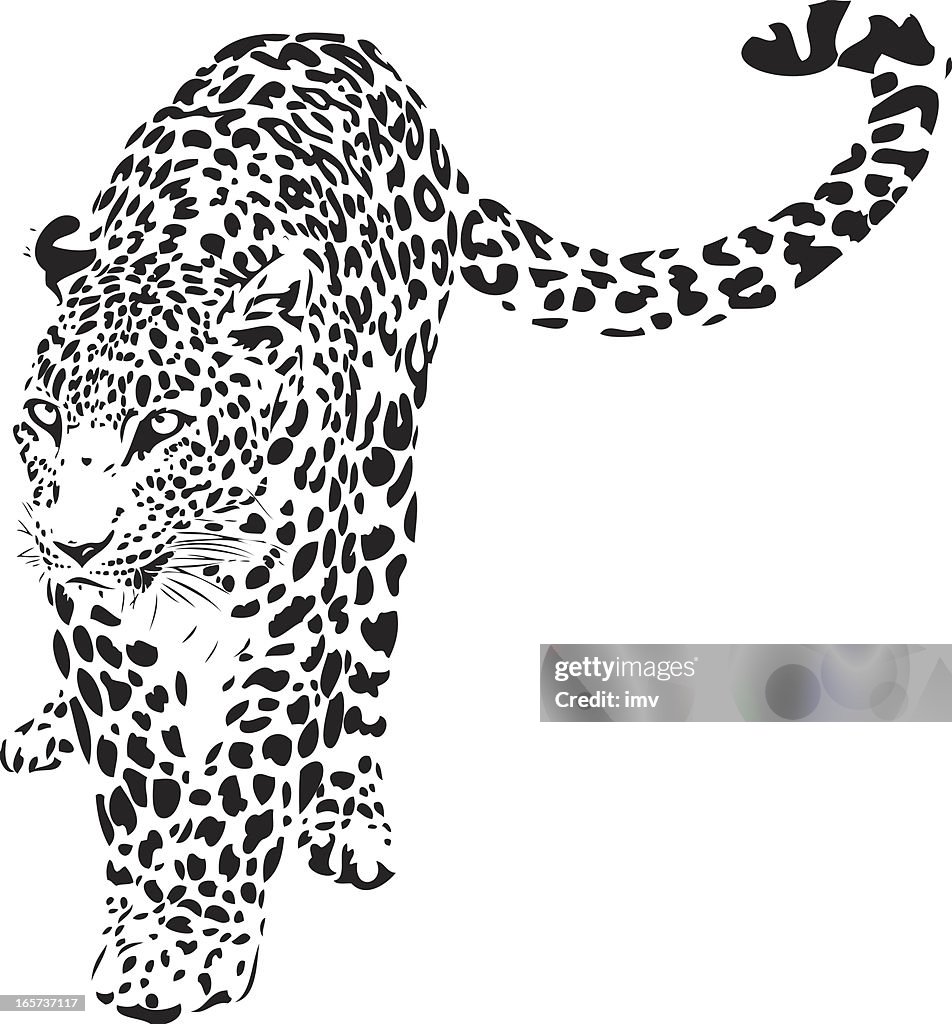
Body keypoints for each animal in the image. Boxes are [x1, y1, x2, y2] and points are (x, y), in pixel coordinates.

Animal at [3, 3, 946, 1019]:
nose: (75, 543)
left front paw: (188, 940)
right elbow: (137, 769)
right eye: (44, 419)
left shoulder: (292, 615)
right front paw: (139, 906)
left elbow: (243, 780)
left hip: (388, 484)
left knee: (365, 671)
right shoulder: (94, 622)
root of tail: (345, 42)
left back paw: (350, 813)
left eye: (164, 426)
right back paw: (48, 724)